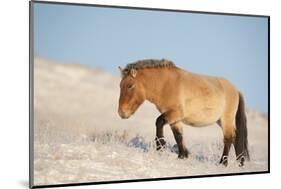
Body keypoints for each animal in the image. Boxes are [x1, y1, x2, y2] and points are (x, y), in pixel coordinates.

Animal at [117, 58, 248, 166]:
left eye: (130, 86)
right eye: (120, 86)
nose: (122, 113)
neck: (166, 84)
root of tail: (236, 90)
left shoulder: (175, 114)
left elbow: (159, 122)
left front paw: (161, 147)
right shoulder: (175, 119)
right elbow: (178, 136)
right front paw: (182, 155)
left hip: (226, 119)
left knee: (228, 138)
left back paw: (223, 163)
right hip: (220, 121)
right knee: (235, 136)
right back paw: (240, 163)